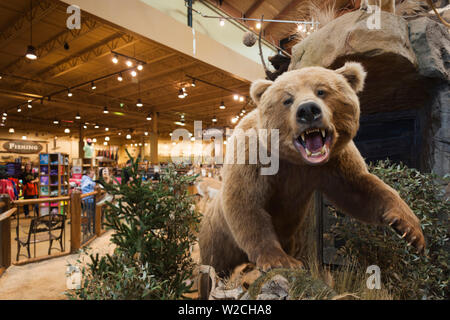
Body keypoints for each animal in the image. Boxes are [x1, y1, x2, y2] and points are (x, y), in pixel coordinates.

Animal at [200, 63, 426, 276]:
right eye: (287, 99)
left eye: (322, 91)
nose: (308, 110)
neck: (298, 162)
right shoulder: (255, 156)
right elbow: (247, 203)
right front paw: (281, 260)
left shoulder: (334, 163)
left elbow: (361, 190)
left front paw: (411, 230)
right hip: (217, 238)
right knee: (213, 263)